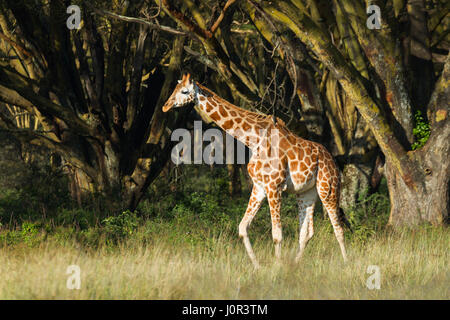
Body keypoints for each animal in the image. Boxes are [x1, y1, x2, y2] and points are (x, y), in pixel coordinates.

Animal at [162, 74, 348, 266]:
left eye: (185, 91)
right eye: (175, 89)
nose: (165, 106)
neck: (253, 140)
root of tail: (333, 161)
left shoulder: (274, 186)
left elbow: (277, 234)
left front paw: (277, 266)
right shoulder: (259, 186)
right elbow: (242, 227)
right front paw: (257, 266)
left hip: (327, 188)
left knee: (338, 229)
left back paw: (346, 264)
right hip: (306, 192)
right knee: (306, 232)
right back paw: (296, 264)